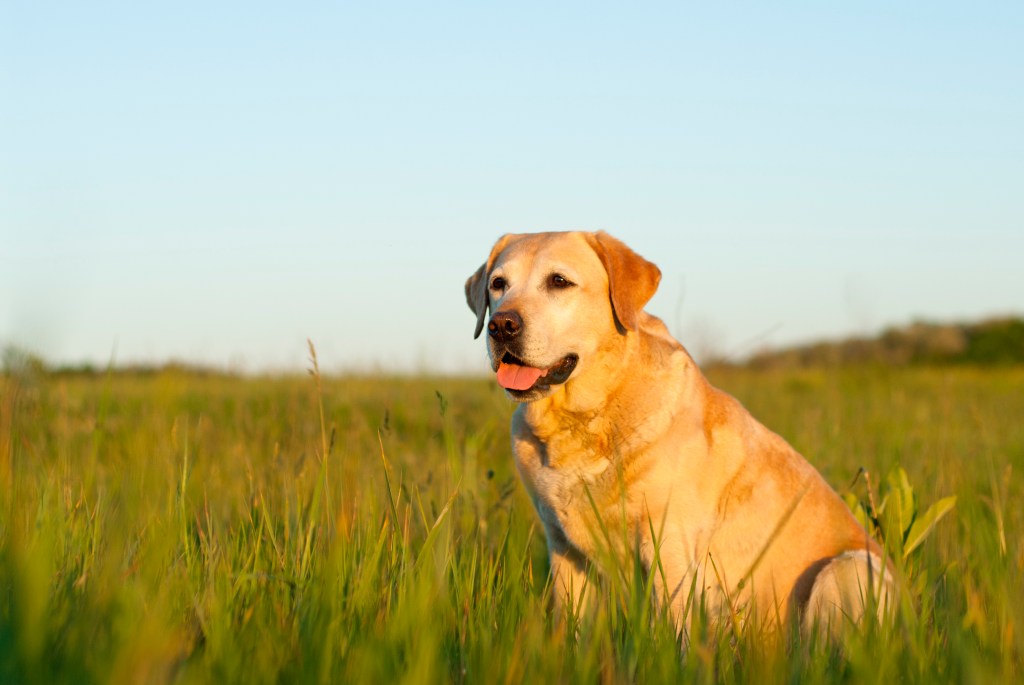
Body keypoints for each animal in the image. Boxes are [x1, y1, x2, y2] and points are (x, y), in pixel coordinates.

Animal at [464, 229, 888, 634]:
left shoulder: (669, 547)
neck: (587, 417)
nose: (501, 325)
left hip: (846, 568)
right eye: (498, 284)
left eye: (559, 281)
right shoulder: (564, 549)